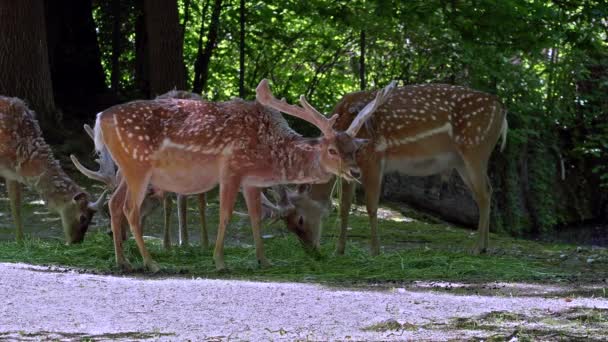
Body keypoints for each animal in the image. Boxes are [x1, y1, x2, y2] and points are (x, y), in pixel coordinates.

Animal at [0, 96, 105, 243]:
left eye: (91, 220)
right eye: (82, 217)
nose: (76, 242)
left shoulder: (11, 174)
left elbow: (16, 205)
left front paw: (20, 241)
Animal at [90, 79, 394, 272]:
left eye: (354, 149)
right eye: (331, 150)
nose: (354, 171)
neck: (268, 152)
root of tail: (100, 118)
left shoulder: (251, 181)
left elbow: (255, 218)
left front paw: (264, 261)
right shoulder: (232, 169)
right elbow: (225, 214)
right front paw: (220, 261)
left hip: (127, 170)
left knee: (113, 204)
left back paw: (123, 261)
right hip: (138, 167)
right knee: (129, 208)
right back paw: (151, 263)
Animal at [274, 83, 506, 254]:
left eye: (300, 219)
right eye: (287, 224)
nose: (311, 250)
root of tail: (502, 110)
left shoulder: (374, 158)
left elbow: (371, 206)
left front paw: (375, 251)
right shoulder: (349, 171)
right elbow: (344, 207)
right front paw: (339, 250)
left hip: (475, 148)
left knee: (484, 194)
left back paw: (477, 248)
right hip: (461, 161)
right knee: (486, 192)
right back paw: (484, 246)